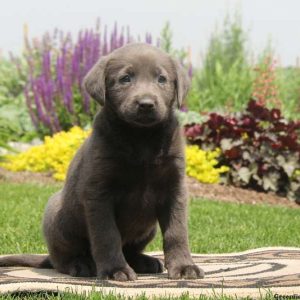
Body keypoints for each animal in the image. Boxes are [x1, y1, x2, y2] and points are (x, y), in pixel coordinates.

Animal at [0, 42, 204, 282]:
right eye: (125, 78)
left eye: (161, 79)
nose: (146, 104)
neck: (141, 138)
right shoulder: (99, 193)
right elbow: (107, 236)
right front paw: (116, 270)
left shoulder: (174, 189)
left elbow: (177, 231)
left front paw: (184, 266)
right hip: (56, 215)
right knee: (62, 259)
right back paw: (80, 265)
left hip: (148, 228)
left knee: (130, 249)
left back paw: (145, 262)